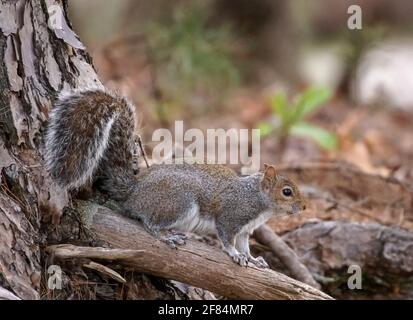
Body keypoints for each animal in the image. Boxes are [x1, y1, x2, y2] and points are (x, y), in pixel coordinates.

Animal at [44, 87, 306, 268]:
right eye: (287, 191)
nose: (304, 207)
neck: (257, 199)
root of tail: (134, 191)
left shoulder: (245, 230)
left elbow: (244, 245)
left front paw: (252, 259)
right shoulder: (231, 216)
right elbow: (226, 238)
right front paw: (234, 254)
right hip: (179, 201)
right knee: (150, 223)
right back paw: (165, 236)